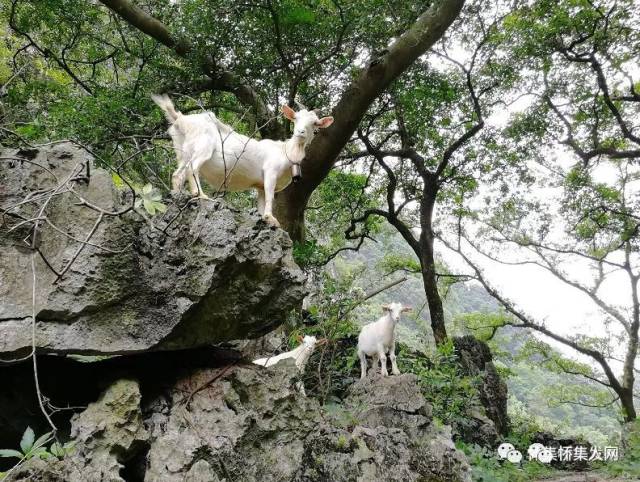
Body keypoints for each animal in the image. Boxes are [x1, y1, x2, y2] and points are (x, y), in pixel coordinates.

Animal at [152, 96, 336, 228]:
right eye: (296, 118)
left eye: (315, 123)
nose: (300, 132)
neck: (286, 152)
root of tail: (181, 119)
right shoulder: (270, 172)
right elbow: (270, 197)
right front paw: (272, 218)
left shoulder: (260, 185)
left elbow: (262, 201)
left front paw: (264, 218)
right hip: (204, 146)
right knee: (193, 167)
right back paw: (201, 195)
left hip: (182, 150)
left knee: (178, 174)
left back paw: (177, 197)